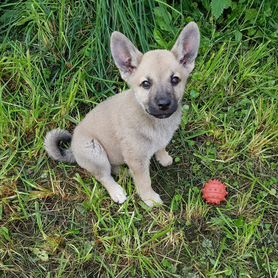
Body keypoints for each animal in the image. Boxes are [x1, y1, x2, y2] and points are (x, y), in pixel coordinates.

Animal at [45, 22, 200, 206]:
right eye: (146, 84)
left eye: (175, 80)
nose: (164, 104)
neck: (151, 120)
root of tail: (73, 150)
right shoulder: (137, 161)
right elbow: (144, 181)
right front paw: (149, 198)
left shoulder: (157, 144)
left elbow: (161, 147)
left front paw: (163, 157)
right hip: (95, 152)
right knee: (104, 176)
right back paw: (117, 191)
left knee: (114, 168)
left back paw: (126, 173)